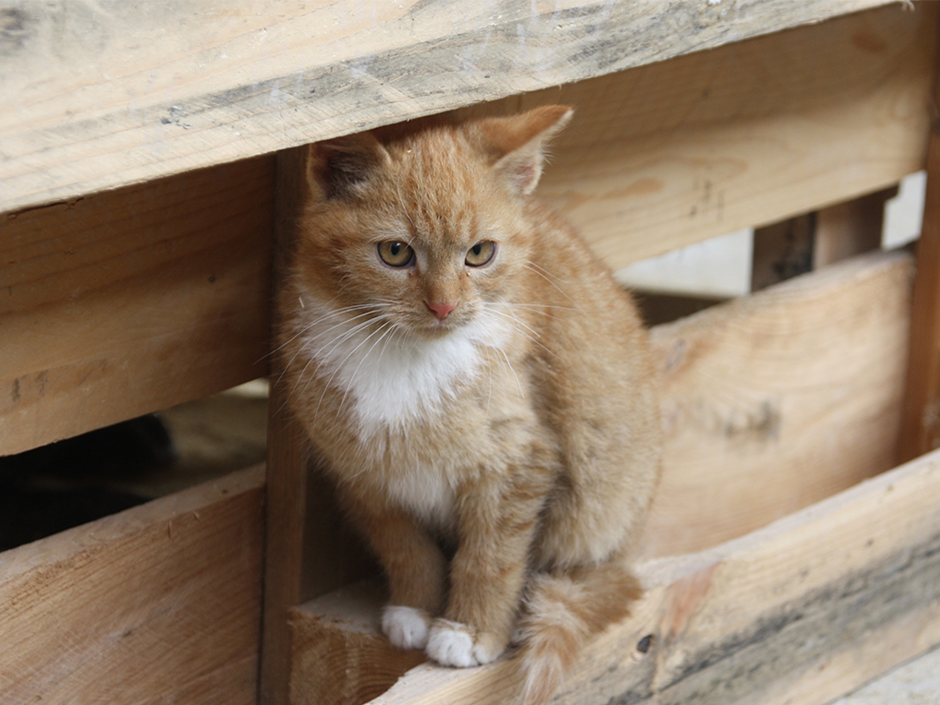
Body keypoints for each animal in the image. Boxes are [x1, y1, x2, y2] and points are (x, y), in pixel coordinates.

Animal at [278, 106, 660, 704]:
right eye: (395, 252)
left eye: (479, 253)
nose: (443, 306)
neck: (406, 358)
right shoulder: (365, 475)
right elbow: (404, 546)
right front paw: (414, 609)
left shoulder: (520, 463)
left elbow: (490, 556)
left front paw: (469, 630)